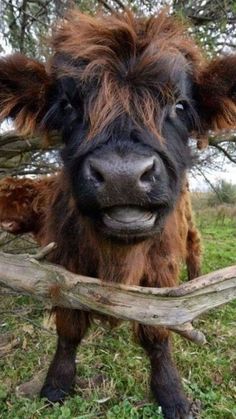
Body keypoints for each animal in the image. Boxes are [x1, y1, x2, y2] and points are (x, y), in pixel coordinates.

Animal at [0, 8, 236, 418]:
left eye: (179, 105)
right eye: (68, 105)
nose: (121, 175)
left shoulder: (161, 273)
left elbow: (157, 333)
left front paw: (172, 395)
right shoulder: (63, 265)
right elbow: (68, 328)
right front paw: (56, 385)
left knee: (195, 250)